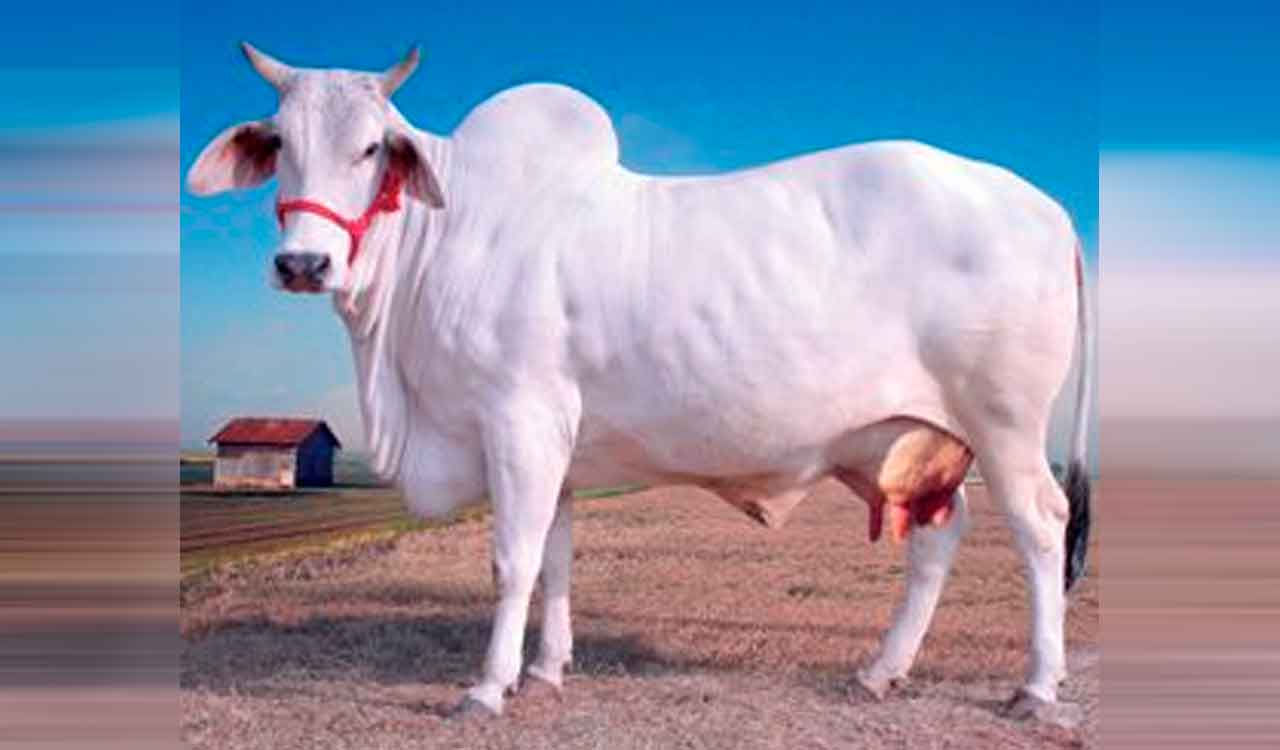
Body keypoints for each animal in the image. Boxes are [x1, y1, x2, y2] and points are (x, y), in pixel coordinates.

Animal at [187, 44, 1094, 720]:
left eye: (372, 147)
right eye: (281, 143)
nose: (304, 264)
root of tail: (1047, 206)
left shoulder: (518, 420)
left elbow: (511, 560)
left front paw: (487, 687)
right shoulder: (554, 447)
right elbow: (555, 559)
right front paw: (544, 672)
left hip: (1005, 424)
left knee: (1041, 525)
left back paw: (1037, 687)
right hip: (900, 440)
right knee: (941, 534)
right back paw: (880, 671)